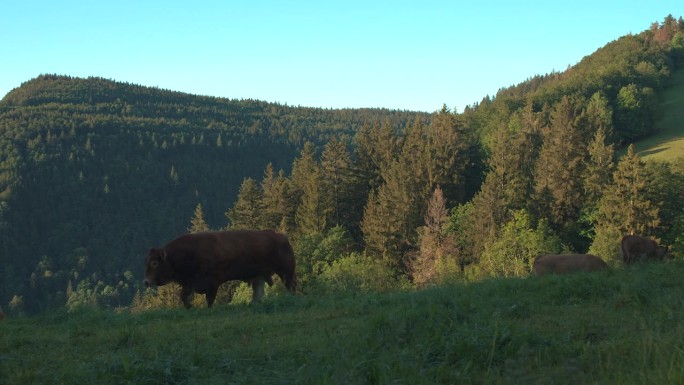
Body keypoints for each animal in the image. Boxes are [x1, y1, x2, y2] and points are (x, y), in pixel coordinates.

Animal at [143, 230, 296, 308]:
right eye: (146, 262)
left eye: (155, 263)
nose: (146, 281)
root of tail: (282, 237)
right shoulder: (190, 284)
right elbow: (183, 296)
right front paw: (190, 307)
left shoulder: (212, 284)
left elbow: (210, 300)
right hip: (259, 277)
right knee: (258, 292)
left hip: (286, 272)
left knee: (291, 285)